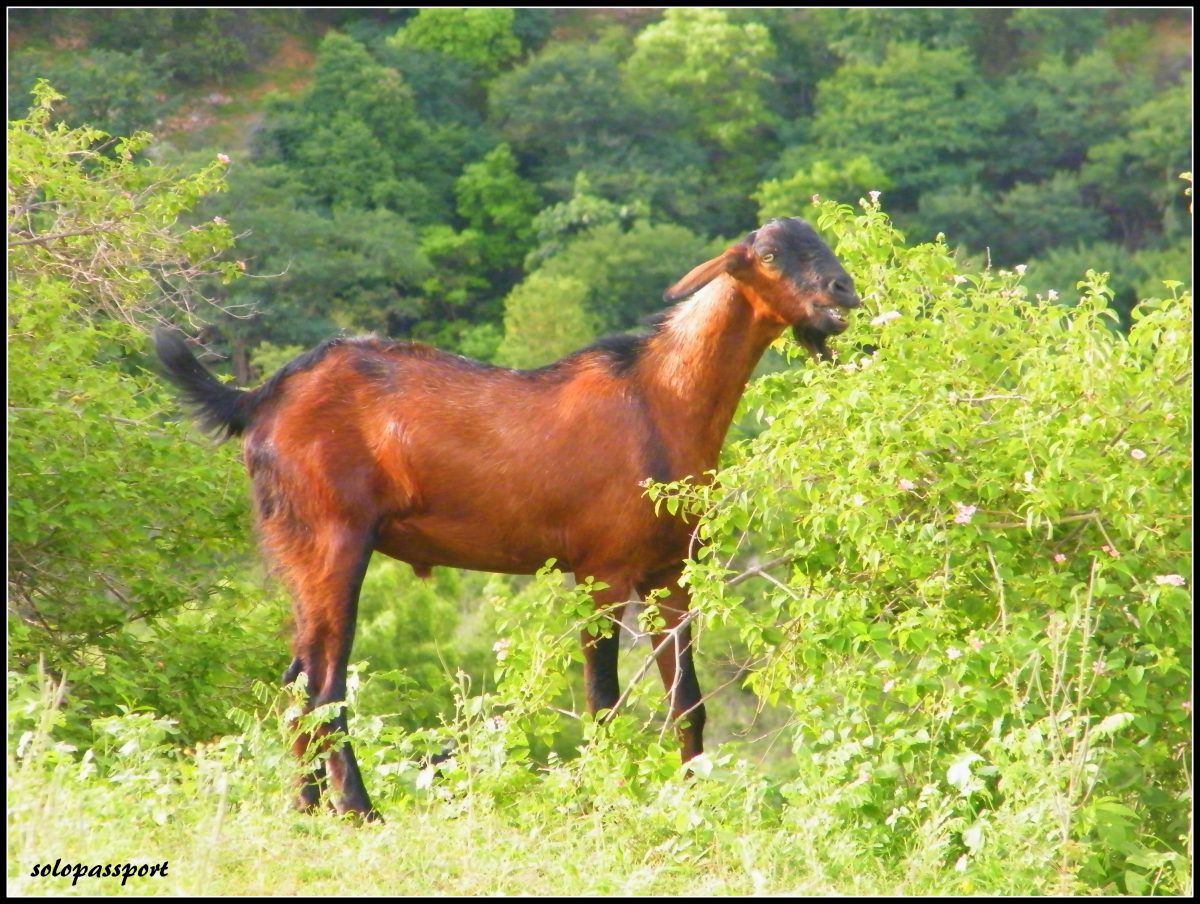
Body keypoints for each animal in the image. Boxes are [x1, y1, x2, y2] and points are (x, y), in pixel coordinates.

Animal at [154, 214, 864, 816]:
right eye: (769, 255)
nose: (844, 289)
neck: (660, 400)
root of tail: (257, 400)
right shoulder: (601, 569)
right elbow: (602, 701)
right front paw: (605, 799)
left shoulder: (672, 571)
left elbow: (686, 702)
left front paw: (693, 802)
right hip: (333, 540)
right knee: (326, 683)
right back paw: (357, 809)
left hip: (298, 550)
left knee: (299, 677)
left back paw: (305, 807)